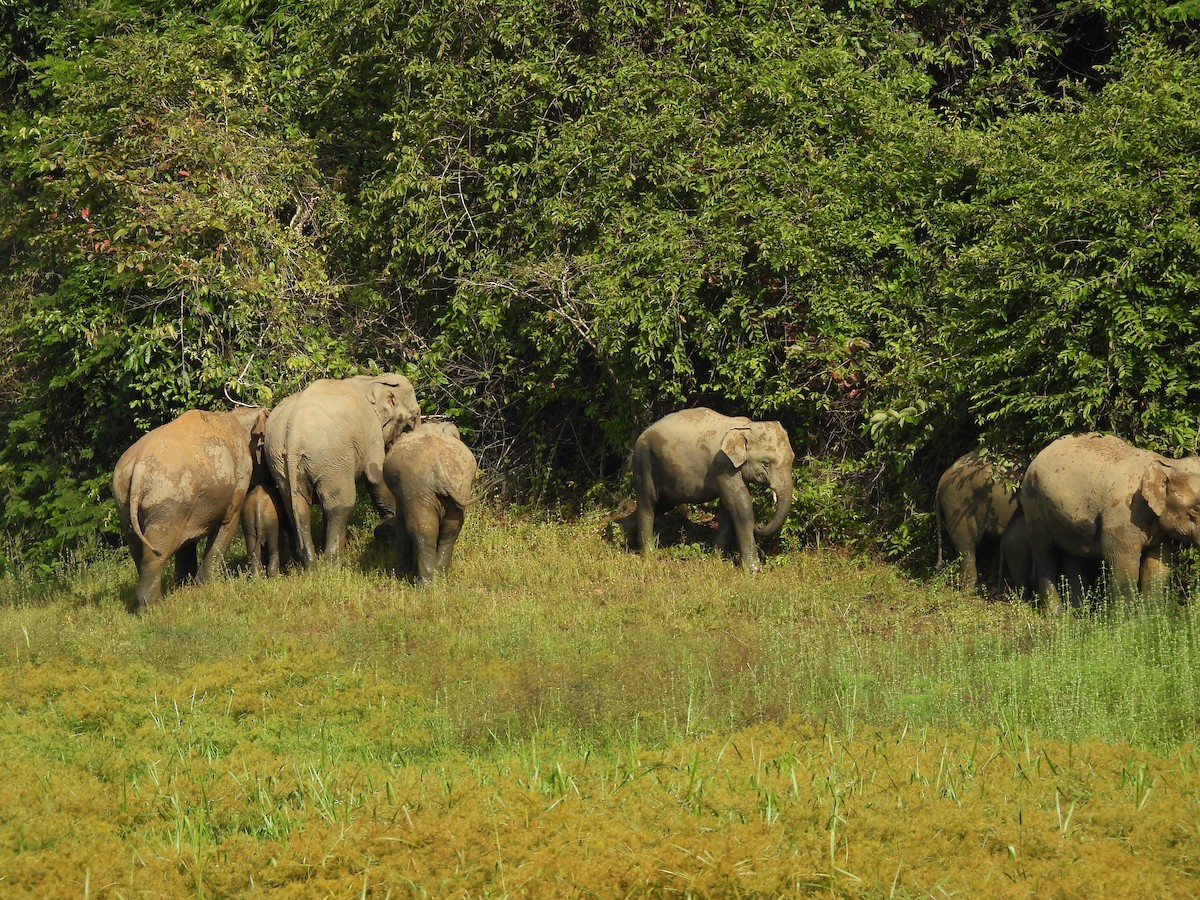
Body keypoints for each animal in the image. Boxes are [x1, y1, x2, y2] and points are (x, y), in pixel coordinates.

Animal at [112, 406, 268, 612]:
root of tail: (137, 468)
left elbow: (186, 541)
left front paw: (184, 588)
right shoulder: (239, 478)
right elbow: (228, 521)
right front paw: (204, 586)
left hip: (127, 504)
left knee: (138, 549)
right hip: (167, 502)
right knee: (157, 552)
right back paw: (152, 608)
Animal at [264, 373, 422, 567]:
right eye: (414, 416)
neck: (372, 380)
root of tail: (293, 434)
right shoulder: (372, 430)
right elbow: (376, 477)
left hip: (279, 461)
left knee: (297, 507)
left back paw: (310, 564)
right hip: (331, 457)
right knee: (340, 505)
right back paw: (334, 563)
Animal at [381, 421, 477, 583]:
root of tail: (439, 470)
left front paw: (399, 575)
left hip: (417, 489)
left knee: (423, 528)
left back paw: (425, 582)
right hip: (460, 486)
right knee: (451, 527)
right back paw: (439, 575)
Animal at [617, 407, 795, 572]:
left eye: (792, 458)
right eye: (766, 463)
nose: (760, 525)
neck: (746, 427)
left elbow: (728, 508)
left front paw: (717, 561)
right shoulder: (723, 465)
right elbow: (740, 504)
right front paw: (753, 570)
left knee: (662, 503)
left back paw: (622, 537)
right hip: (645, 461)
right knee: (648, 502)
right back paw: (649, 556)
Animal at [1021, 432, 1200, 613]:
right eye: (1195, 510)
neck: (1167, 464)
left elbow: (1157, 564)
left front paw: (1151, 615)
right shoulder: (1123, 514)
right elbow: (1123, 562)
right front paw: (1125, 618)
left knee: (1074, 555)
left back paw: (1079, 613)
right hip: (1034, 504)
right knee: (1045, 552)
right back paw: (1056, 615)